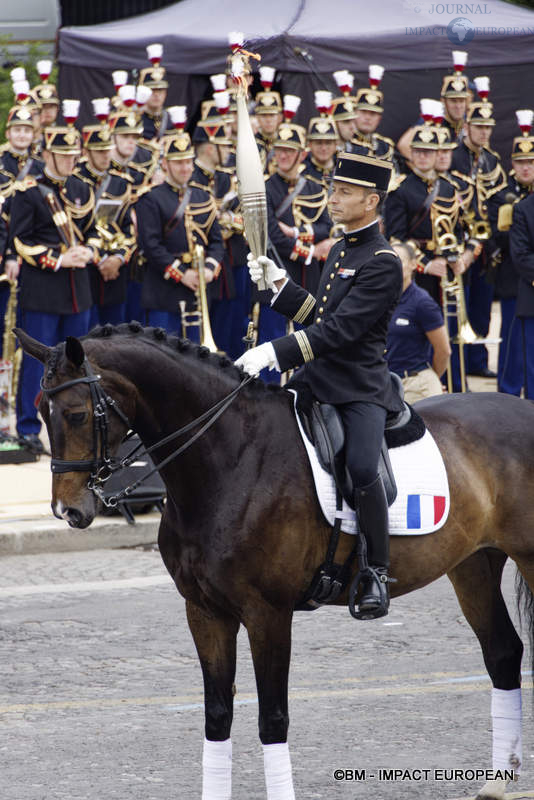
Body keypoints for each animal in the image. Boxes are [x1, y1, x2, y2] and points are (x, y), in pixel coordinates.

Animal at [14, 324, 534, 800]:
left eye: (77, 414)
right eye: (41, 413)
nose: (68, 510)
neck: (230, 459)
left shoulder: (268, 613)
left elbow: (272, 718)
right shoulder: (205, 612)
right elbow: (217, 715)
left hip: (524, 557)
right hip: (472, 564)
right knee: (503, 654)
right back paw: (498, 783)